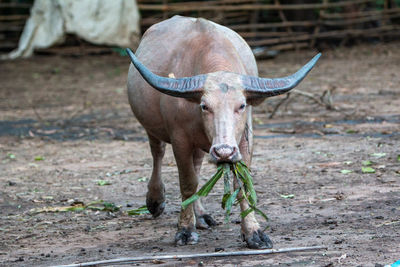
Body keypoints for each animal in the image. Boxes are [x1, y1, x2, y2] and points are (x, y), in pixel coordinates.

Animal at [126, 15, 320, 249]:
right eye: (204, 106)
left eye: (242, 105)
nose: (224, 152)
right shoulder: (180, 139)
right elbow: (187, 182)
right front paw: (185, 230)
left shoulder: (244, 139)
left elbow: (241, 183)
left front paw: (254, 232)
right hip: (153, 129)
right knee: (158, 153)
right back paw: (156, 201)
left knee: (197, 165)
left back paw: (201, 216)